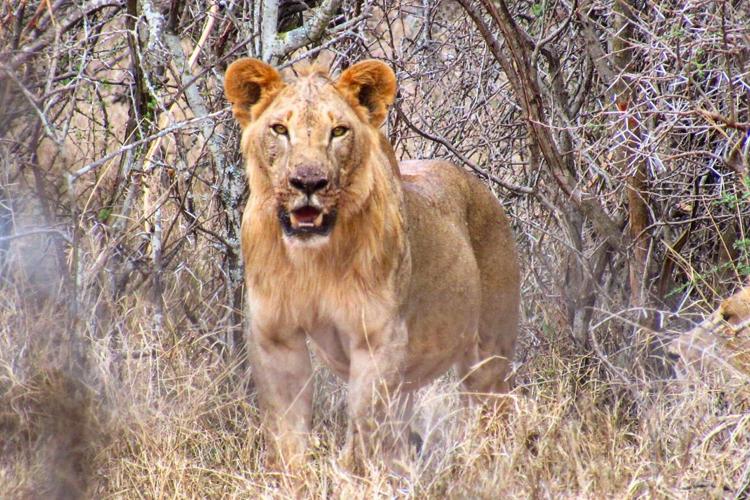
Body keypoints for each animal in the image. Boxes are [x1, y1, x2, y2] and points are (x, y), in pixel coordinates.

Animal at [223, 58, 520, 469]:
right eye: (280, 129)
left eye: (339, 131)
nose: (308, 182)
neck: (313, 261)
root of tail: (478, 186)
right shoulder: (276, 337)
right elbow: (288, 440)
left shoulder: (378, 339)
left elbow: (363, 432)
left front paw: (352, 474)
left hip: (488, 355)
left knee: (494, 416)